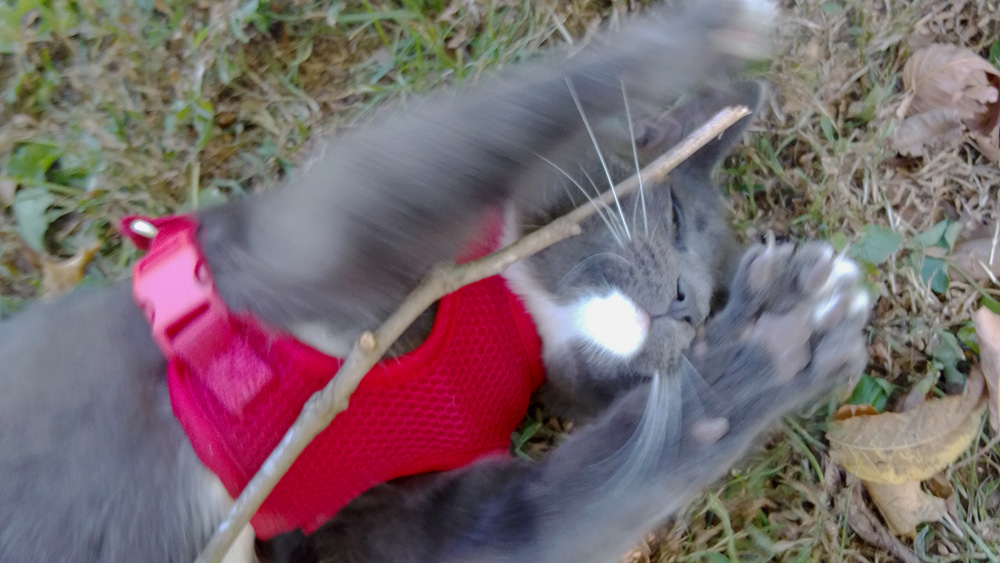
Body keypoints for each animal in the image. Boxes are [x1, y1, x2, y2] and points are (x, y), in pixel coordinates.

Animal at [0, 1, 868, 563]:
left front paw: (776, 336)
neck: (513, 318)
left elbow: (543, 513)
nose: (690, 305)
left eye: (712, 295)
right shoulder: (303, 243)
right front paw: (701, 32)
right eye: (679, 217)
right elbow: (455, 142)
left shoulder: (372, 524)